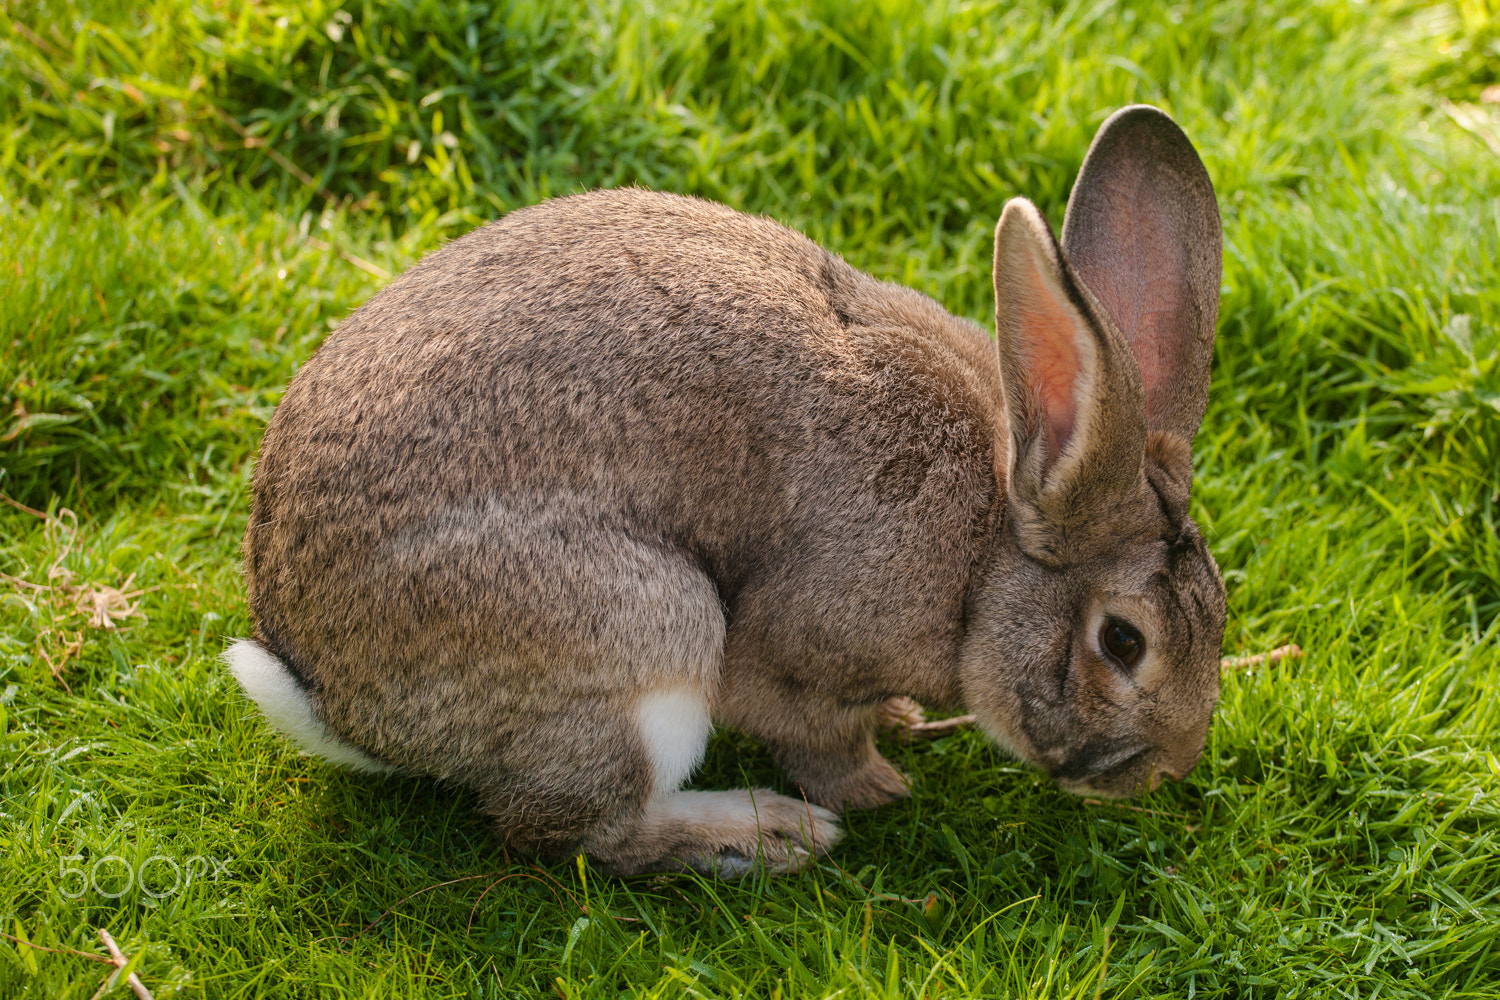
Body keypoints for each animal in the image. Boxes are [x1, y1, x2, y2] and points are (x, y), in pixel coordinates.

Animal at [227, 104, 1226, 877]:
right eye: (1124, 642)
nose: (1171, 769)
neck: (986, 552)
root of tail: (330, 696)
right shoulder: (803, 646)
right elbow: (812, 733)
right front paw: (876, 786)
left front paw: (899, 722)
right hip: (641, 631)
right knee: (577, 832)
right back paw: (765, 833)